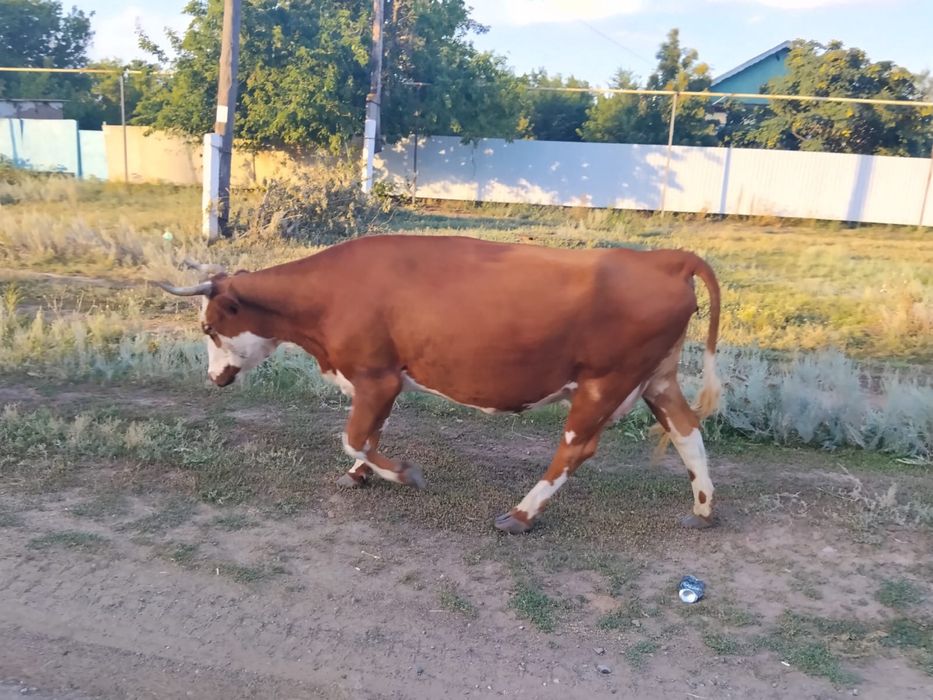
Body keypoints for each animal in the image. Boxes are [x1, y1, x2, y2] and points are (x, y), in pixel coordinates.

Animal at [154, 234, 722, 534]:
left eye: (208, 327)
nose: (213, 378)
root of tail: (663, 258)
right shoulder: (379, 382)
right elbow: (368, 435)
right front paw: (361, 475)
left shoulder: (376, 376)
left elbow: (355, 436)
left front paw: (401, 474)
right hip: (656, 378)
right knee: (687, 430)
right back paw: (703, 508)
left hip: (605, 382)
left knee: (576, 448)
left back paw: (521, 514)